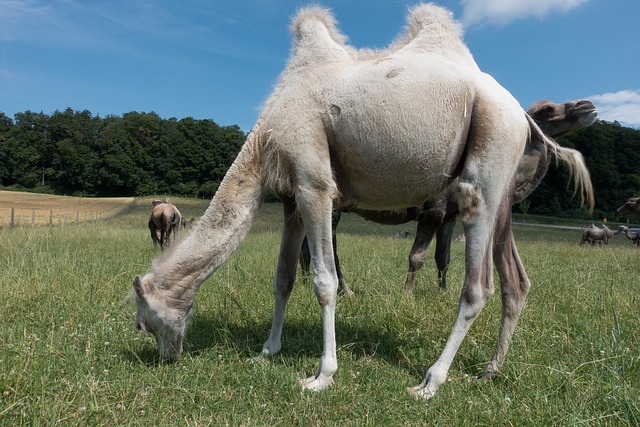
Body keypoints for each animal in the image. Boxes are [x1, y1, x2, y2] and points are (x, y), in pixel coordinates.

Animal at [131, 3, 596, 400]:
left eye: (143, 320)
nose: (165, 358)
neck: (264, 141)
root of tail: (525, 118)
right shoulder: (290, 198)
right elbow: (283, 277)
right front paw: (267, 350)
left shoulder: (315, 184)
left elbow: (324, 281)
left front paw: (322, 375)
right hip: (501, 192)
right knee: (515, 280)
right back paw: (489, 371)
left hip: (489, 152)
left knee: (478, 284)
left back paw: (431, 381)